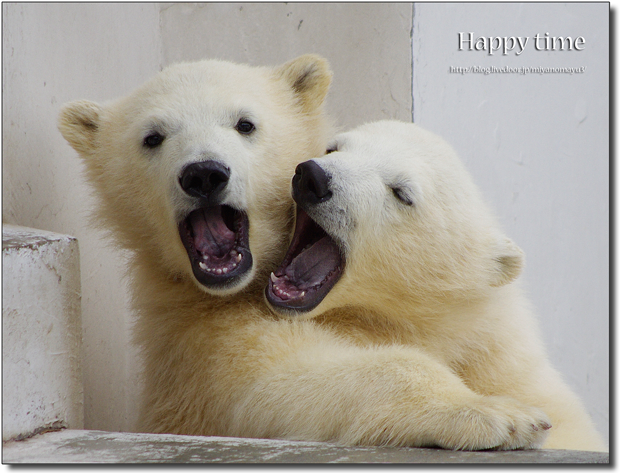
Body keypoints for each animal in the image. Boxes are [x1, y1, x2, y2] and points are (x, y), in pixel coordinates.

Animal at [266, 119, 604, 450]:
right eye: (332, 148)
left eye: (401, 193)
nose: (313, 177)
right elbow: (288, 372)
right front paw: (505, 415)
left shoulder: (495, 344)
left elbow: (568, 421)